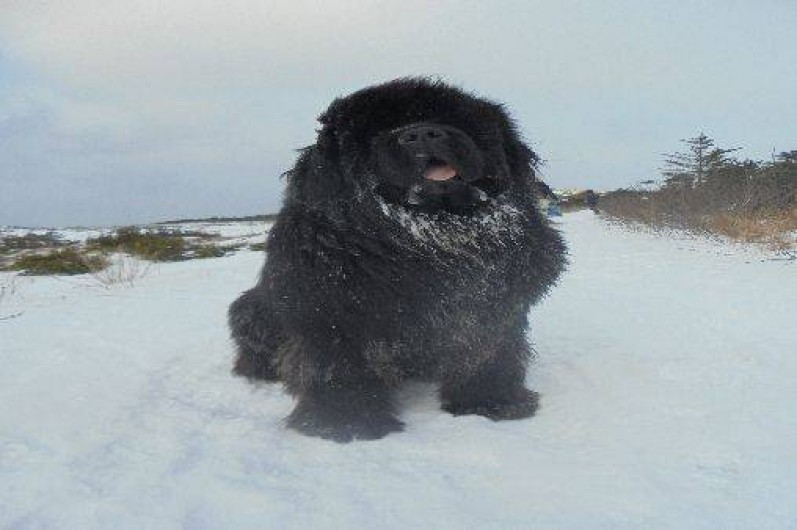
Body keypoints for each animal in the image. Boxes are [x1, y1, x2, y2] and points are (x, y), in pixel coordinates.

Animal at [230, 77, 564, 442]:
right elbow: (339, 368)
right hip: (250, 310)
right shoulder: (330, 314)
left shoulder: (488, 308)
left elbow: (486, 353)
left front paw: (493, 401)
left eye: (449, 118)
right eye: (378, 130)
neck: (433, 243)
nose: (422, 133)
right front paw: (346, 422)